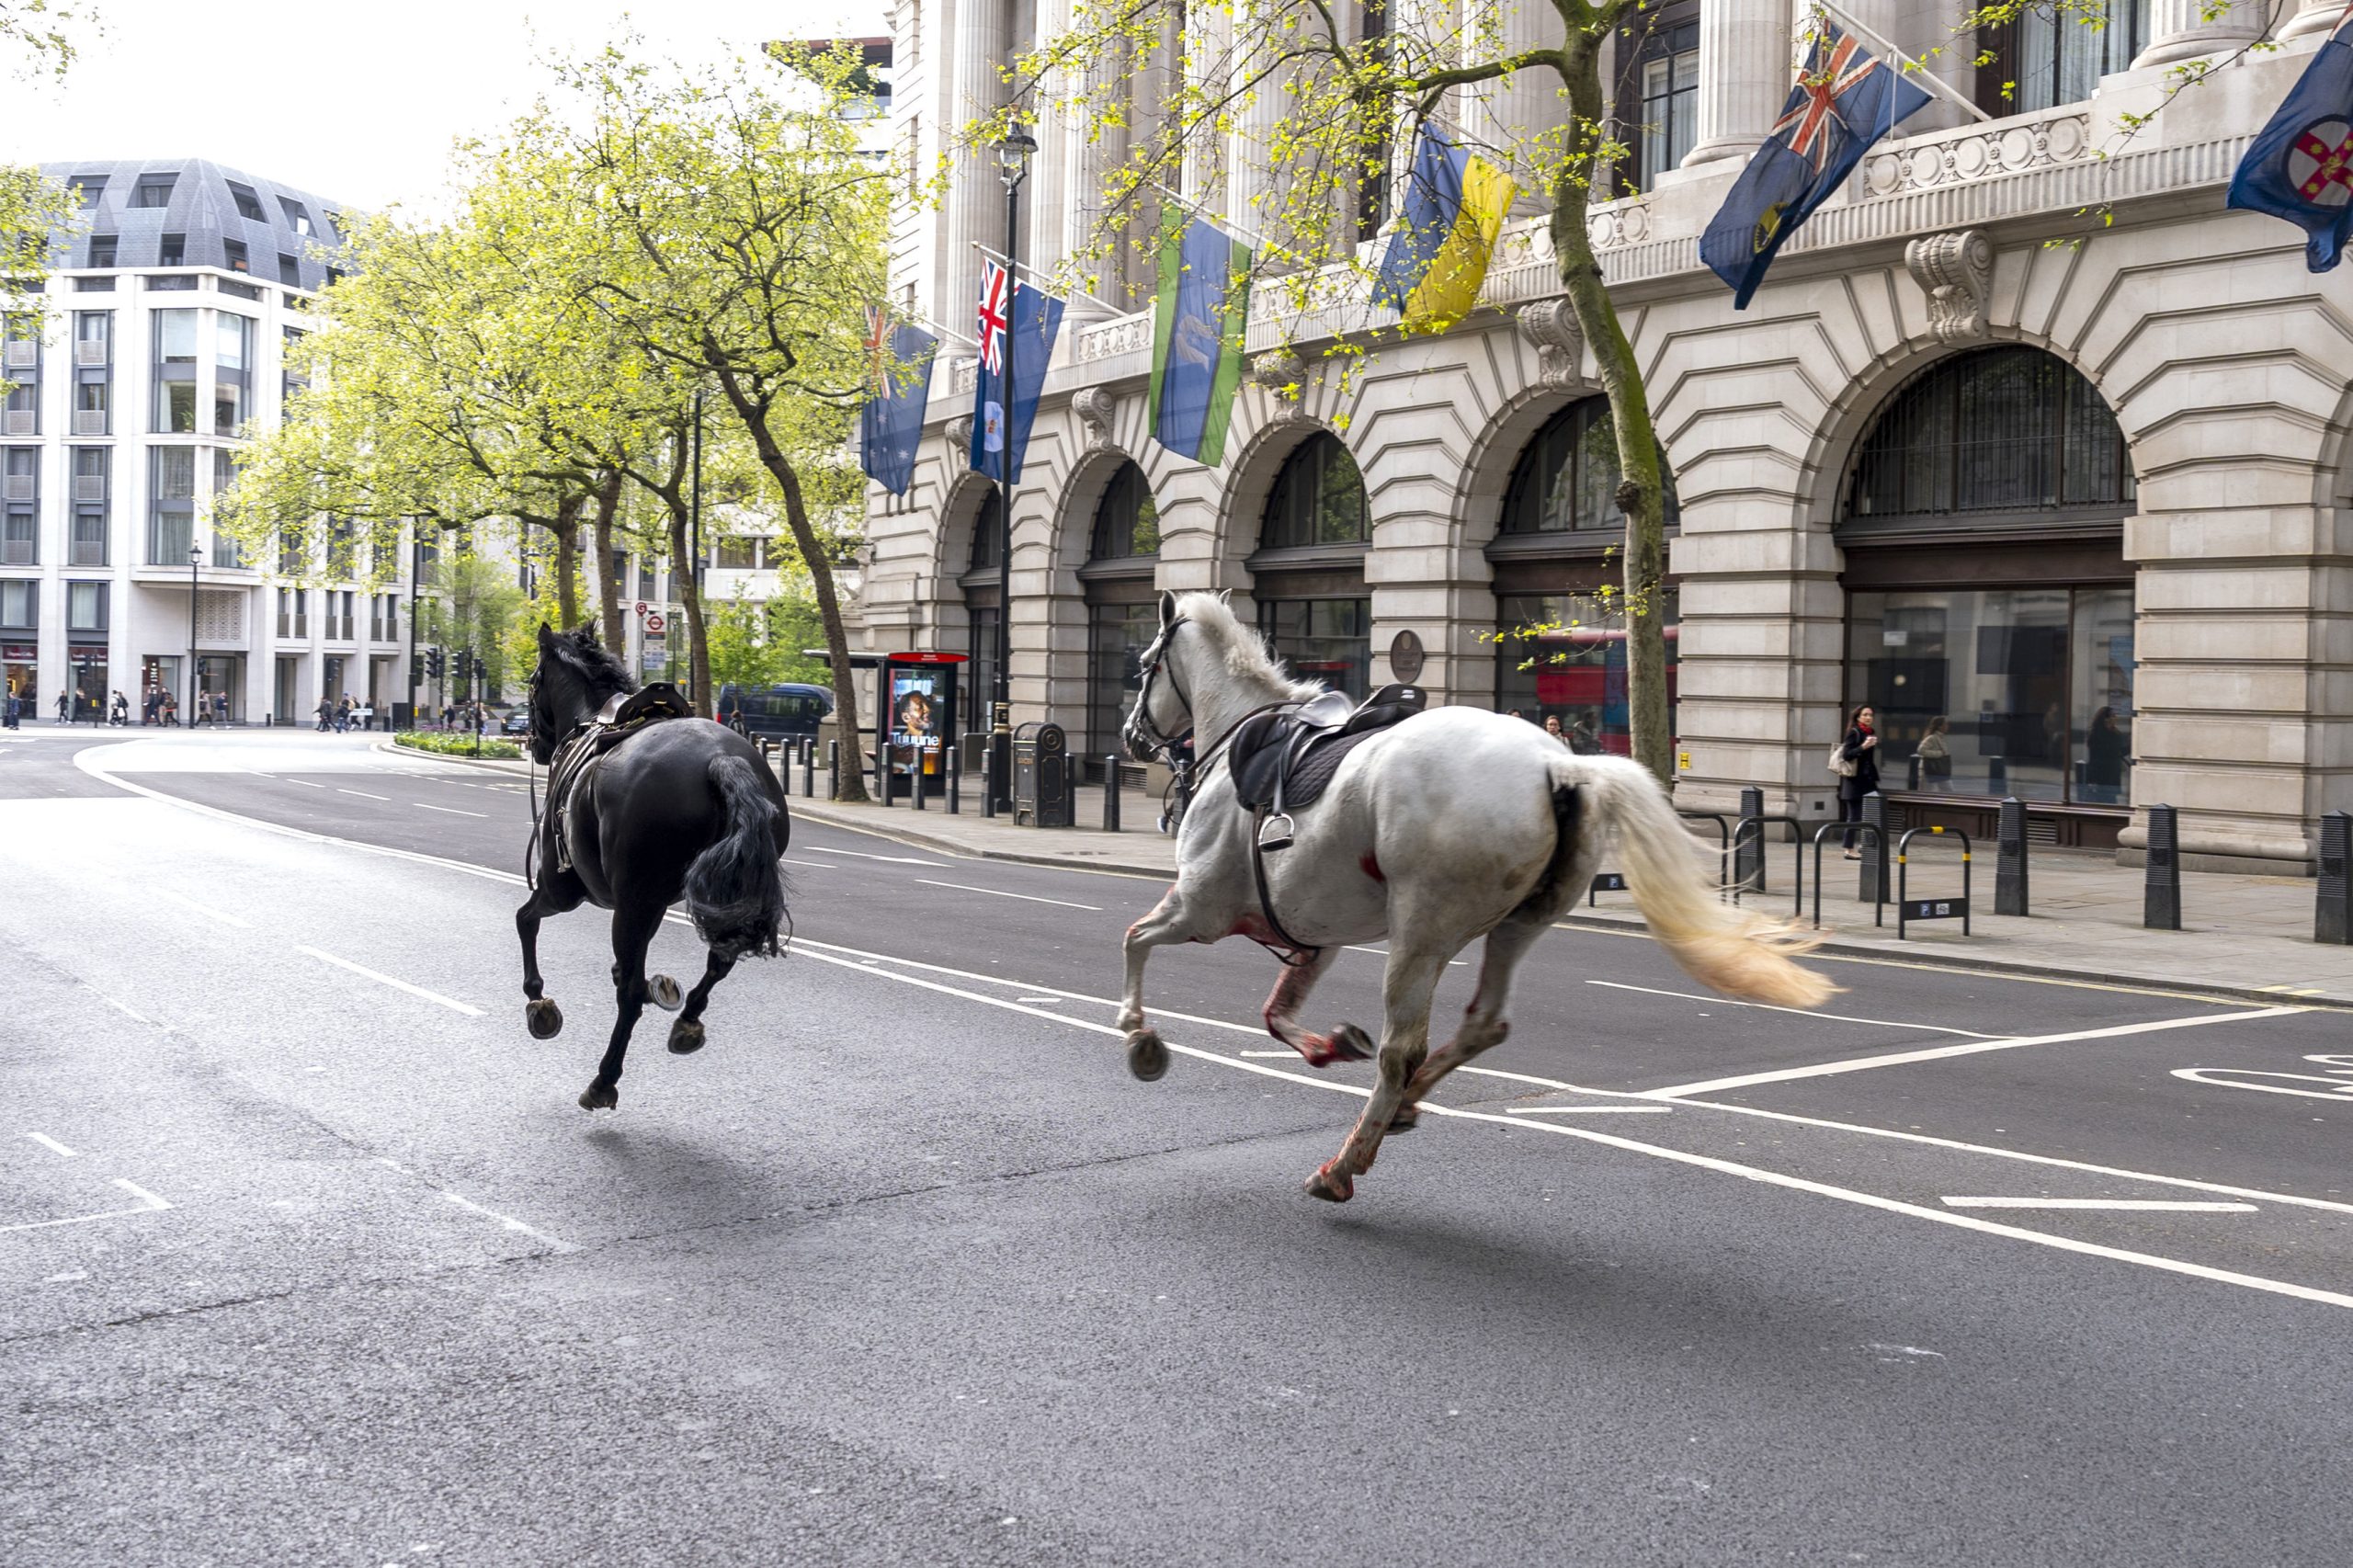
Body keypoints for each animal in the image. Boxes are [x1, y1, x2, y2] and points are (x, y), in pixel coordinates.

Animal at [517, 624, 791, 1111]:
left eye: (533, 682)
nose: (537, 744)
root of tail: (721, 759)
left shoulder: (563, 888)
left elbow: (525, 920)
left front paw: (538, 1000)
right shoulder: (654, 902)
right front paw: (659, 987)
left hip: (624, 901)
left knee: (627, 997)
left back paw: (603, 1080)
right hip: (722, 895)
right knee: (720, 960)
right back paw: (687, 1020)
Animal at [1118, 591, 1835, 1203]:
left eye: (1146, 665)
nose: (1129, 736)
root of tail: (1561, 763)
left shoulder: (1201, 908)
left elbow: (1135, 939)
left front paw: (1138, 1035)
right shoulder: (1311, 931)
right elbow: (1276, 1012)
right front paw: (1328, 1045)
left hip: (1420, 931)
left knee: (1401, 1049)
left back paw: (1345, 1163)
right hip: (1518, 923)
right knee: (1483, 1024)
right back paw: (1404, 1106)